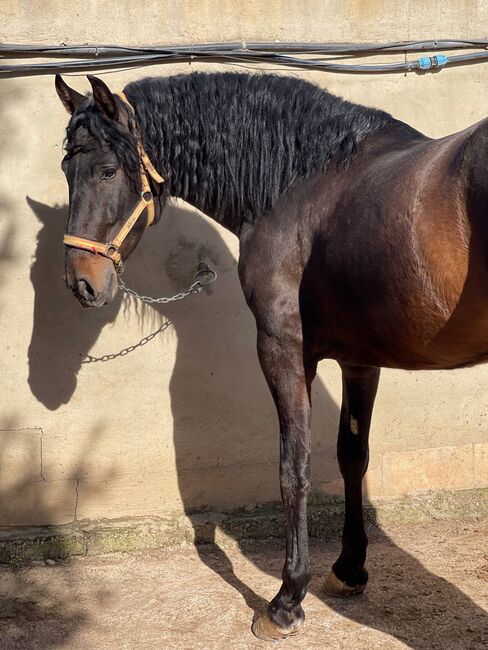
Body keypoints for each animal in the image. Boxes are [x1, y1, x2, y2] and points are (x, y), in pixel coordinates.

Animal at [55, 71, 486, 636]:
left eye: (107, 170)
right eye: (67, 170)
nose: (81, 283)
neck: (301, 185)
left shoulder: (284, 349)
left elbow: (293, 466)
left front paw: (286, 600)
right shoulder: (359, 360)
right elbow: (353, 457)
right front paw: (349, 570)